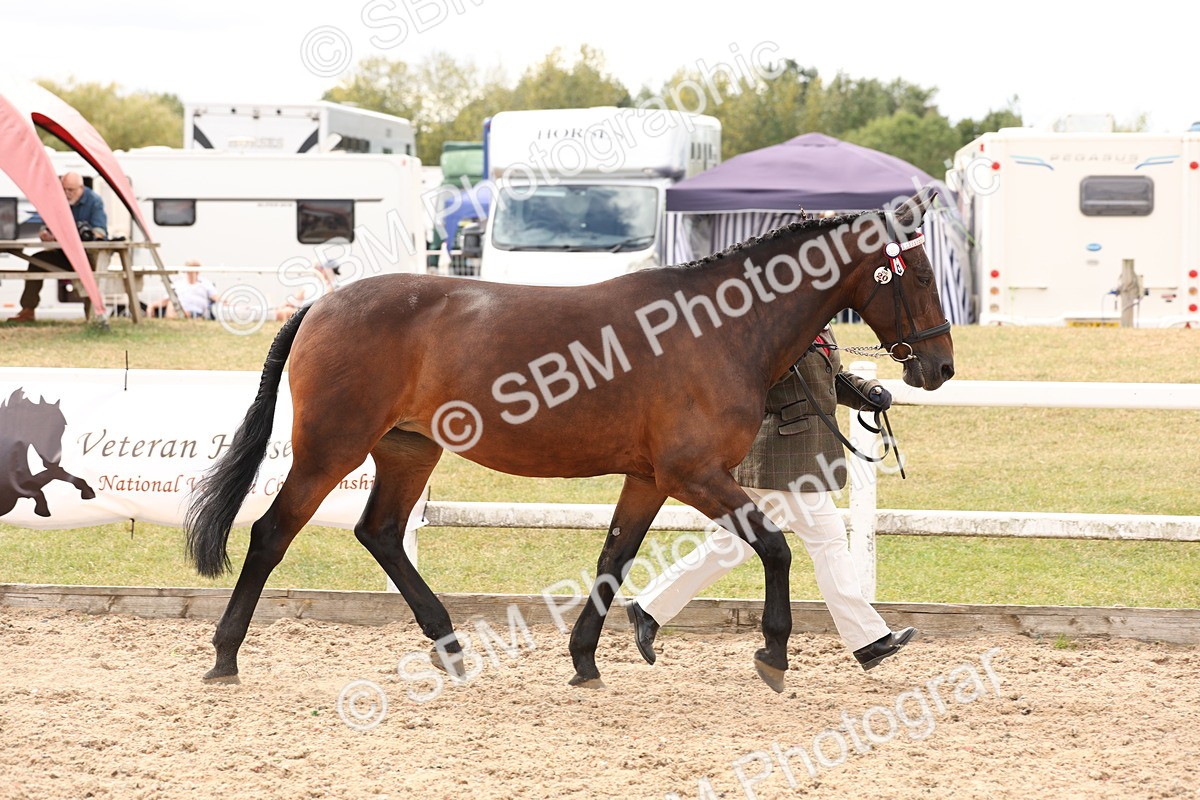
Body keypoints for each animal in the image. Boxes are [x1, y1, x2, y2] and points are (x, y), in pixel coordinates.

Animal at [0, 389, 95, 518]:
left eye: (63, 426)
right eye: (39, 424)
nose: (53, 461)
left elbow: (54, 473)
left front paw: (88, 491)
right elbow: (37, 492)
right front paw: (43, 510)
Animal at [185, 187, 954, 691]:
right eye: (917, 272)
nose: (940, 367)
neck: (718, 327)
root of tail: (321, 303)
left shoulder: (650, 478)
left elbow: (617, 556)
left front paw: (586, 658)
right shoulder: (694, 474)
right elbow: (775, 546)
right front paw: (773, 654)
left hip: (408, 448)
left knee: (379, 533)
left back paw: (450, 645)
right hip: (330, 449)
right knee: (272, 533)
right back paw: (225, 656)